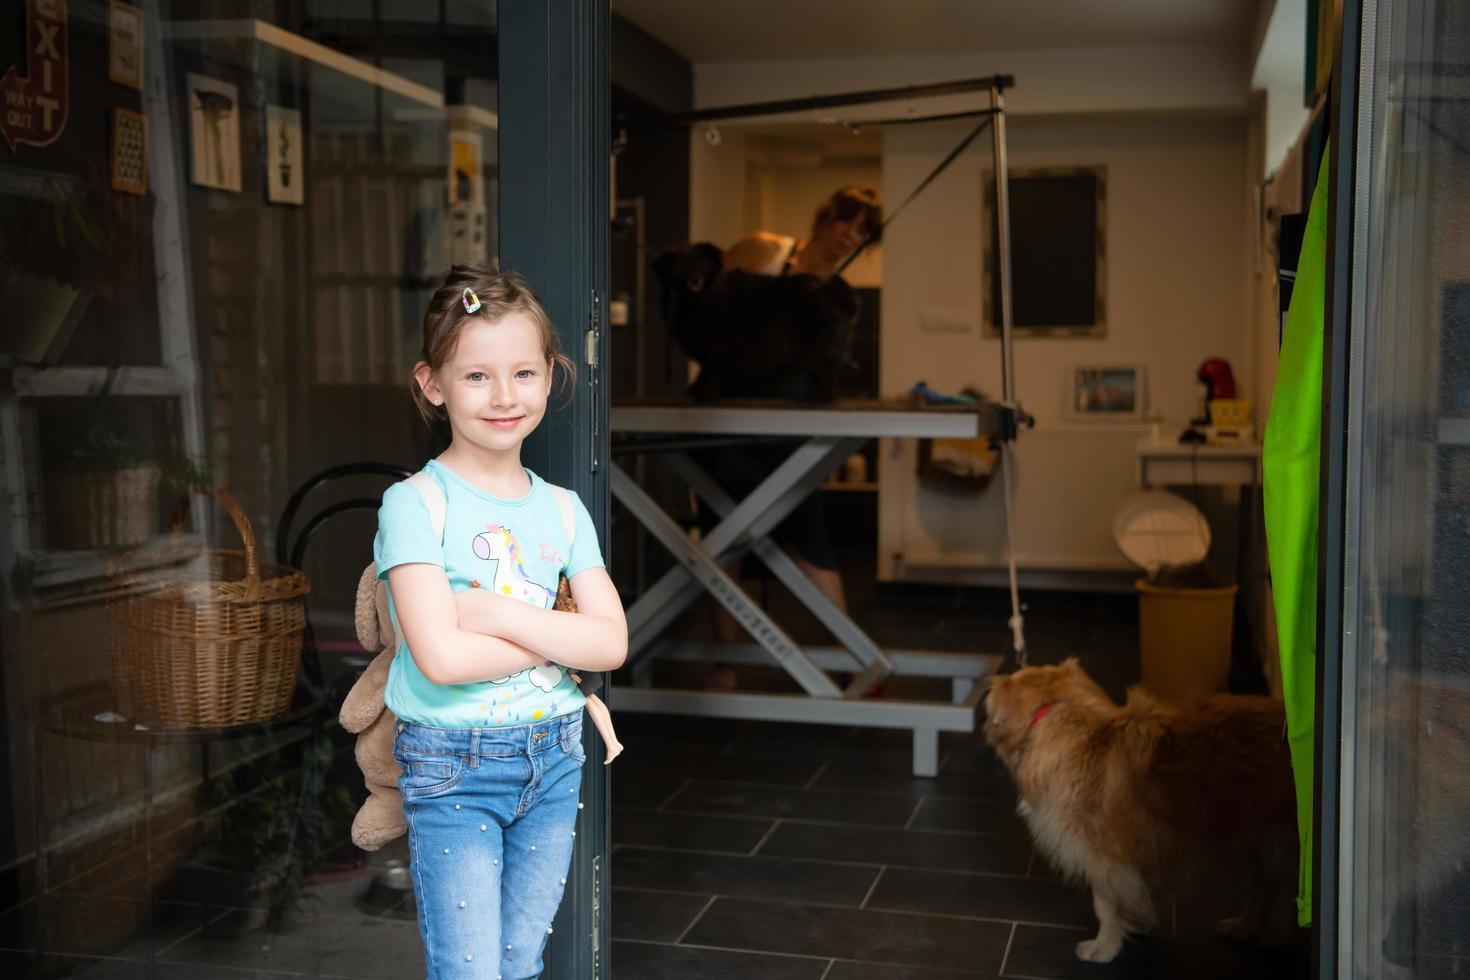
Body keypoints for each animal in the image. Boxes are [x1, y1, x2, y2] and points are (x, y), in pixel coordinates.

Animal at [652, 242, 858, 402]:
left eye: (702, 264)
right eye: (678, 268)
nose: (694, 280)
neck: (698, 300)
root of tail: (831, 292)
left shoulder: (715, 345)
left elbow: (710, 372)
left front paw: (705, 393)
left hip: (817, 349)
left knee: (825, 374)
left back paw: (820, 397)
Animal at [981, 658, 1293, 963]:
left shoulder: (1105, 856)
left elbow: (1105, 905)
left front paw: (1104, 947)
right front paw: (1138, 920)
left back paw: (1276, 934)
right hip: (1261, 836)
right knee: (1263, 886)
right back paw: (1243, 927)